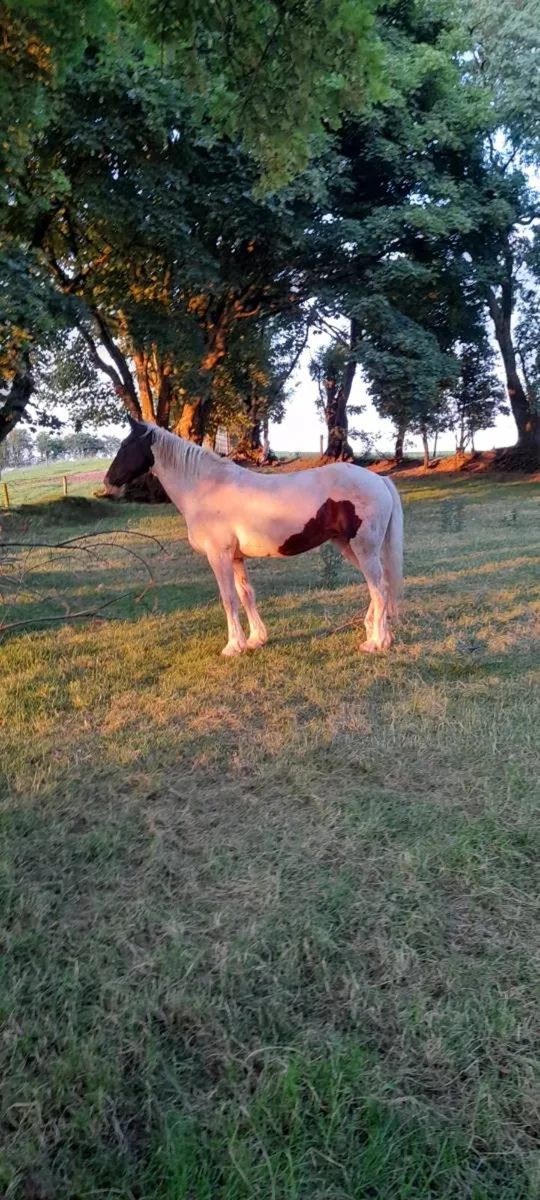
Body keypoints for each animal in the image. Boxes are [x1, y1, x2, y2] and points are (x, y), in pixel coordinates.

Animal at [105, 418, 404, 657]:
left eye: (125, 444)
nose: (108, 482)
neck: (206, 487)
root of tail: (379, 480)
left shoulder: (219, 556)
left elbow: (228, 598)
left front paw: (232, 646)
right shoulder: (236, 557)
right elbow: (246, 594)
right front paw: (255, 640)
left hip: (364, 548)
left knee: (379, 589)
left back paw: (376, 642)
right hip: (347, 547)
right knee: (380, 586)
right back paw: (378, 634)